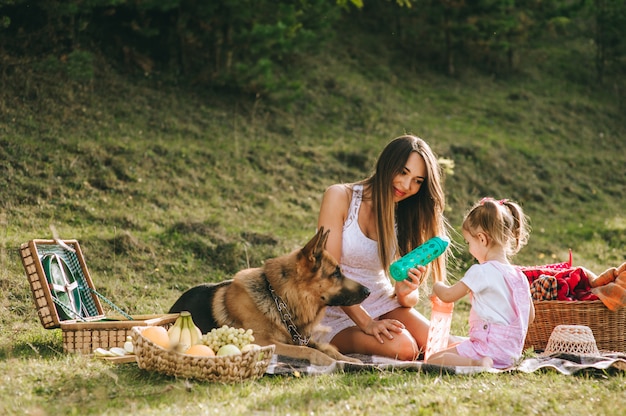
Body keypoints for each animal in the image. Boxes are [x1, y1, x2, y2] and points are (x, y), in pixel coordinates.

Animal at [168, 226, 368, 366]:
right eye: (336, 273)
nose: (368, 291)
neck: (279, 298)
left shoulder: (298, 337)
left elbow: (326, 347)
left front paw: (349, 359)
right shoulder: (263, 341)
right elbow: (307, 351)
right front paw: (333, 362)